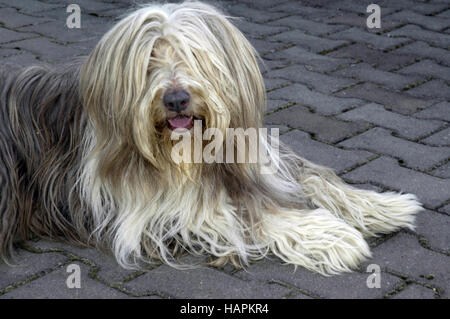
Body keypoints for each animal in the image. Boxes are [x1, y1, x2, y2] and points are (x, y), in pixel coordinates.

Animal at [0, 0, 422, 276]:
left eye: (195, 56)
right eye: (150, 61)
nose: (175, 99)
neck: (189, 156)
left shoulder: (258, 161)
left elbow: (314, 178)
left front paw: (382, 206)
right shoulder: (151, 209)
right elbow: (244, 215)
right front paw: (331, 237)